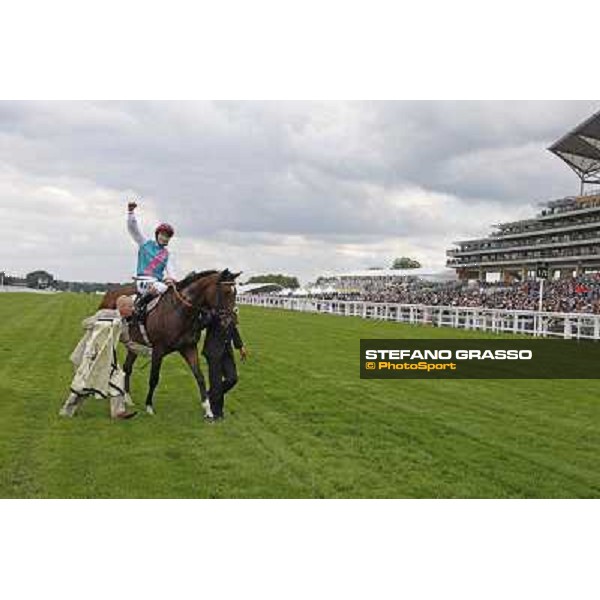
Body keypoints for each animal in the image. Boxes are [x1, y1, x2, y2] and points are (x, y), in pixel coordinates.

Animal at [98, 270, 239, 418]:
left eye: (235, 293)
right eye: (226, 292)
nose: (231, 320)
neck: (179, 311)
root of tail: (110, 293)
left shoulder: (188, 347)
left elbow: (199, 376)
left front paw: (208, 409)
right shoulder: (158, 350)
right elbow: (154, 378)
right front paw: (149, 406)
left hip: (133, 344)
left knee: (127, 367)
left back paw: (127, 398)